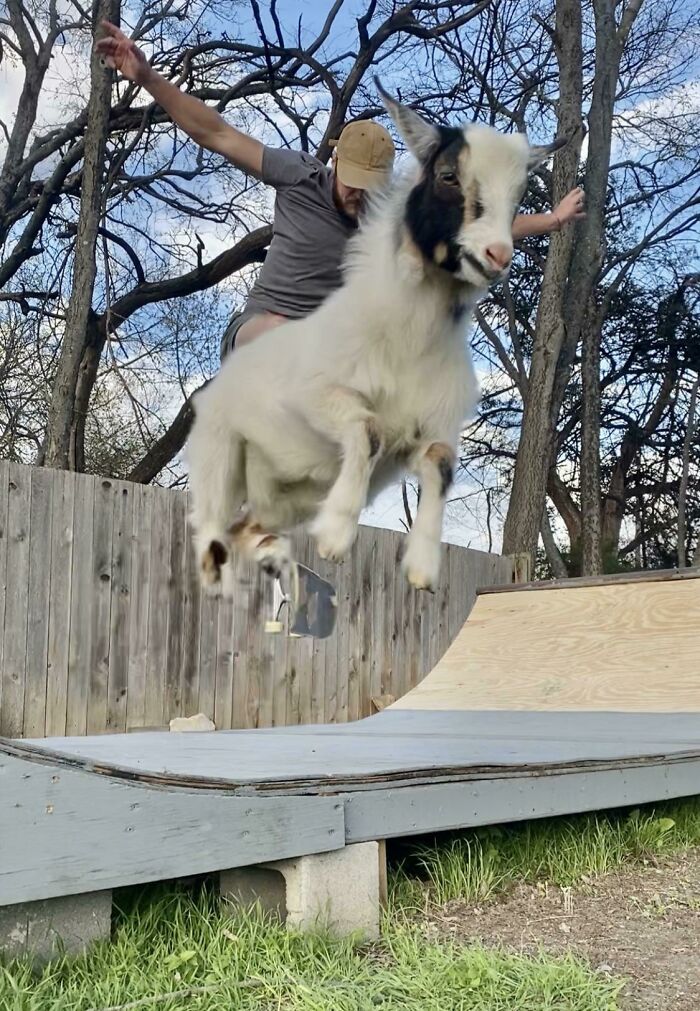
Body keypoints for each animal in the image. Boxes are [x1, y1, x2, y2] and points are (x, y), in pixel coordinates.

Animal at [186, 81, 563, 593]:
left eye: (521, 192)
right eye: (448, 175)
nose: (498, 255)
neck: (407, 341)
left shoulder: (425, 433)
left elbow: (440, 462)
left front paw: (422, 565)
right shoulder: (314, 396)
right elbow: (369, 429)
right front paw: (335, 534)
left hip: (280, 502)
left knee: (249, 526)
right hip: (219, 458)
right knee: (211, 529)